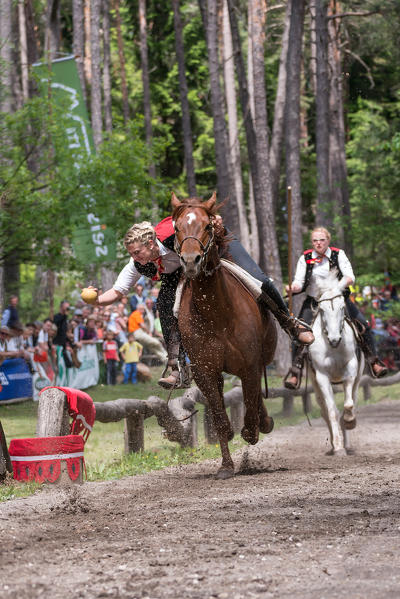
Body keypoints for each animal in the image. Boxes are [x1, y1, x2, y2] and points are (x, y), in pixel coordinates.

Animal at [172, 192, 278, 478]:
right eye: (177, 228)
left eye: (208, 226)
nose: (190, 260)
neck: (217, 313)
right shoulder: (205, 371)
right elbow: (219, 417)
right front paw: (226, 465)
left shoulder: (250, 364)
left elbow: (250, 406)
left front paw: (252, 430)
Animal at [308, 270, 364, 458]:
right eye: (322, 309)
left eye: (341, 307)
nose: (334, 339)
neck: (332, 348)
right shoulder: (321, 377)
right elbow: (332, 412)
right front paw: (338, 447)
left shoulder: (351, 369)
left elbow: (348, 404)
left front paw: (349, 422)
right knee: (325, 412)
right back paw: (335, 445)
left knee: (352, 399)